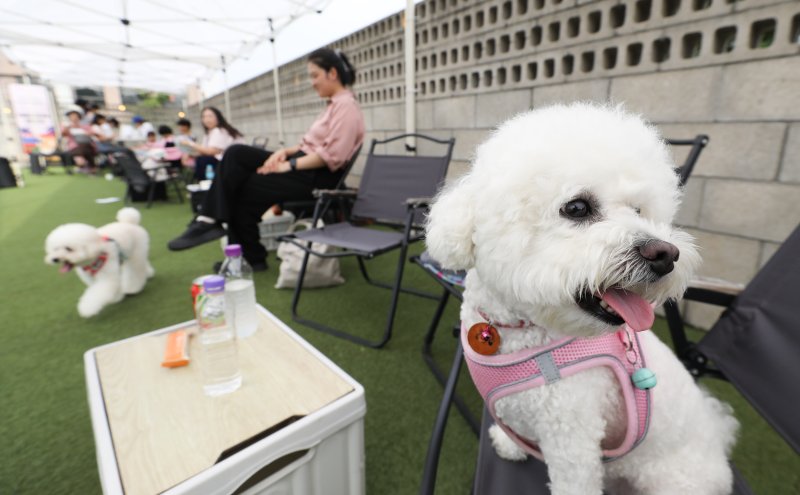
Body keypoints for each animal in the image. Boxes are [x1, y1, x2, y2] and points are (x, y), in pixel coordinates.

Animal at [424, 101, 736, 495]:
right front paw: (511, 444)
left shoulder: (572, 436)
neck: (517, 330)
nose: (665, 254)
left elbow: (574, 479)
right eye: (577, 208)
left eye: (638, 211)